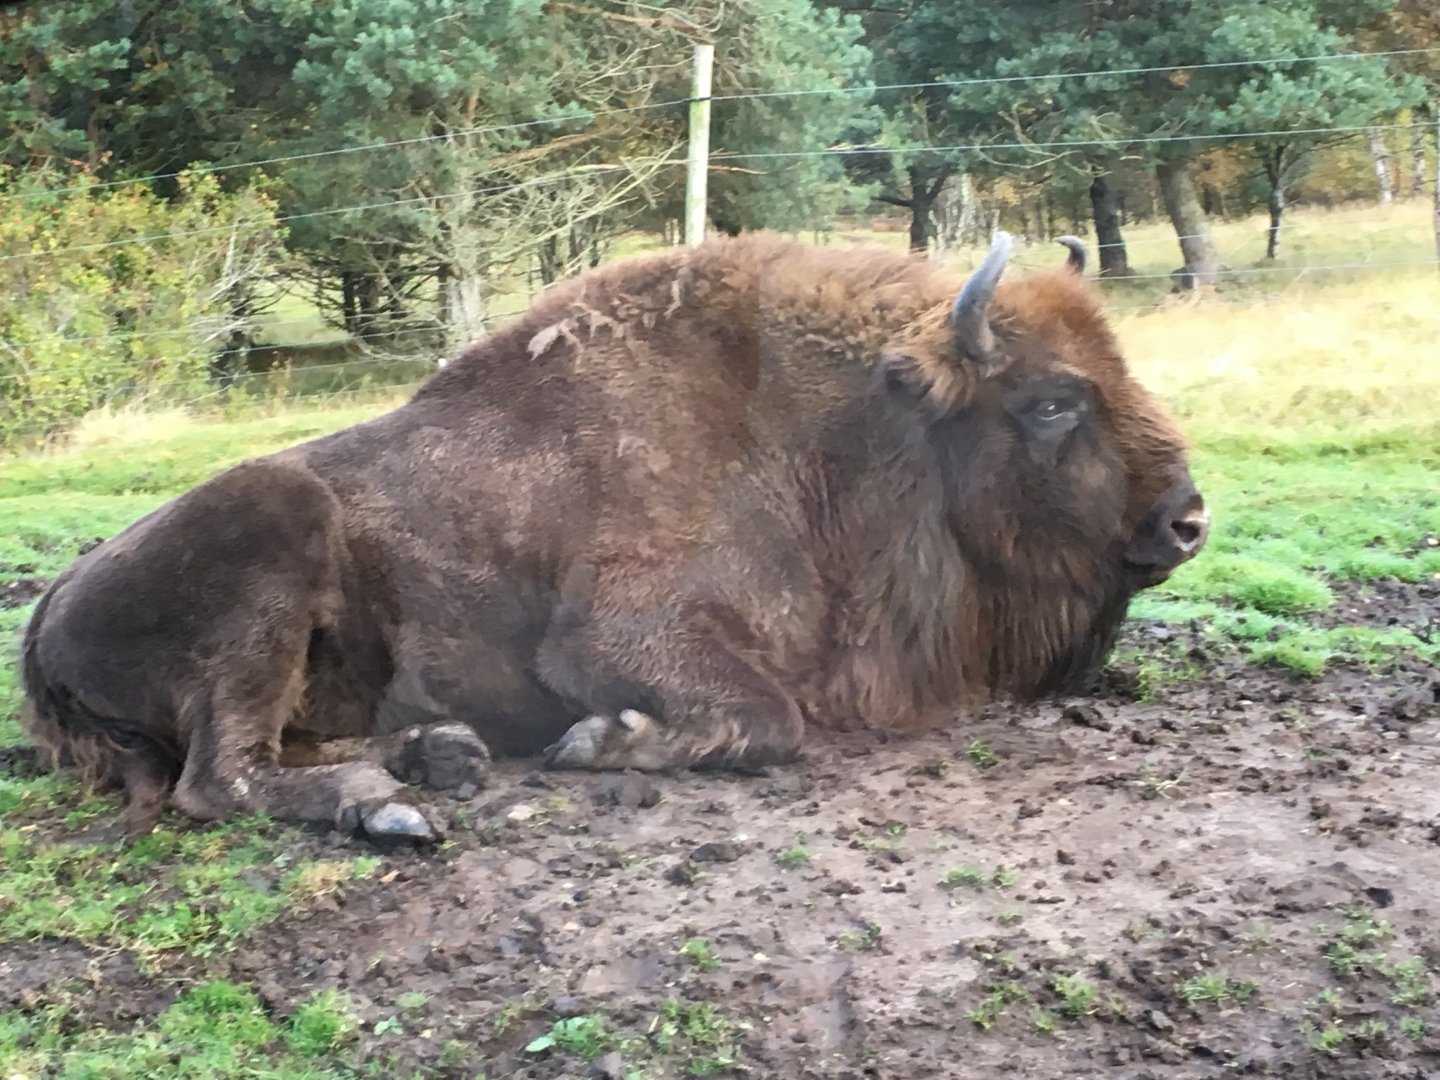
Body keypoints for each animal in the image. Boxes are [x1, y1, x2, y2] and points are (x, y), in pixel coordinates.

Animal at [20, 231, 1208, 842]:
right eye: (1052, 402)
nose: (1187, 520)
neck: (825, 433)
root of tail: (43, 614)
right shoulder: (612, 640)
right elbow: (770, 721)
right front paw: (598, 744)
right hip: (270, 542)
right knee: (221, 776)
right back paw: (389, 806)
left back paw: (440, 756)